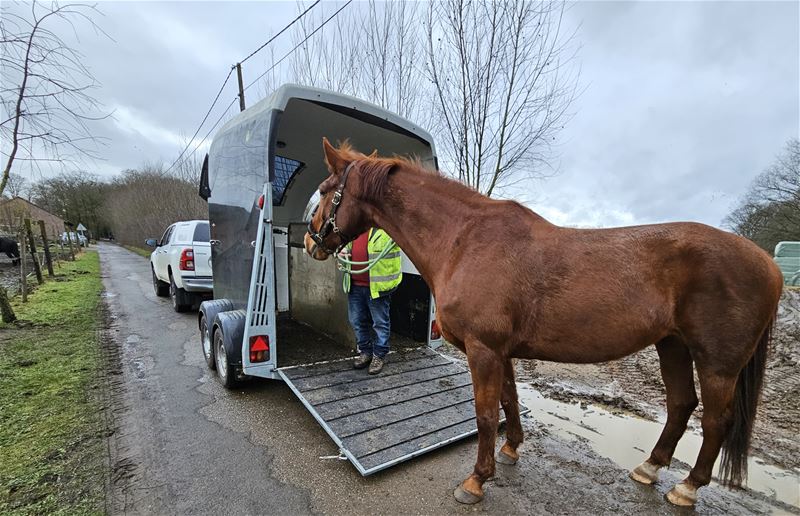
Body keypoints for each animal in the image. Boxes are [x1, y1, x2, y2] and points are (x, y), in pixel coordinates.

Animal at [304, 138, 783, 507]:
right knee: (681, 405)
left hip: (717, 364)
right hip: (673, 345)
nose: (310, 241)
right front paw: (511, 449)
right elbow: (509, 401)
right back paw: (649, 468)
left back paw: (686, 488)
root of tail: (770, 266)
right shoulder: (501, 352)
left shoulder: (483, 351)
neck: (464, 240)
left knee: (715, 422)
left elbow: (484, 414)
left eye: (326, 191)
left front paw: (476, 481)